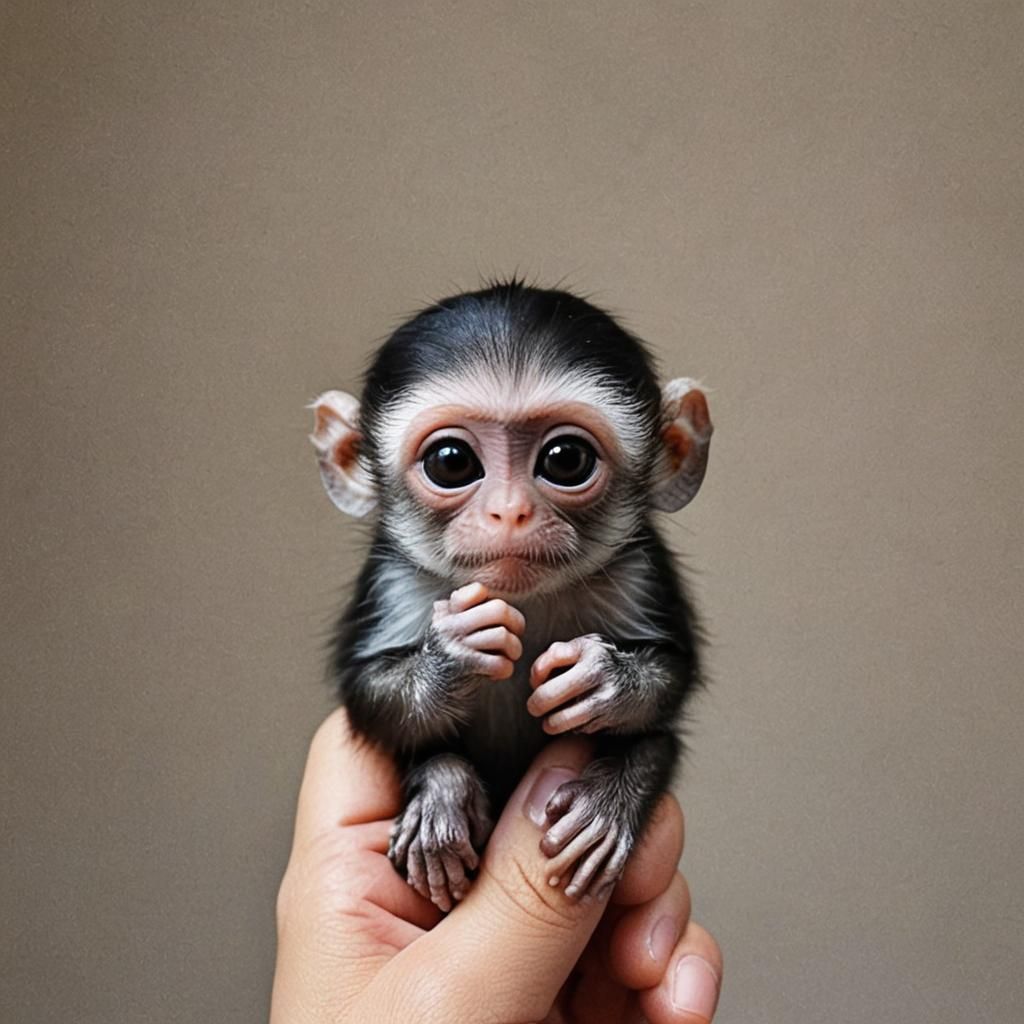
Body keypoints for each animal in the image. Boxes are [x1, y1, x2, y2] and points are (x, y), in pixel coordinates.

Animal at [309, 280, 713, 912]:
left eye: (566, 459)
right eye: (451, 462)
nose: (510, 511)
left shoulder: (639, 568)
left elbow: (673, 671)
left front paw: (602, 678)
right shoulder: (393, 580)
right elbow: (370, 696)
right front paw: (452, 656)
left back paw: (613, 799)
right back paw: (442, 798)